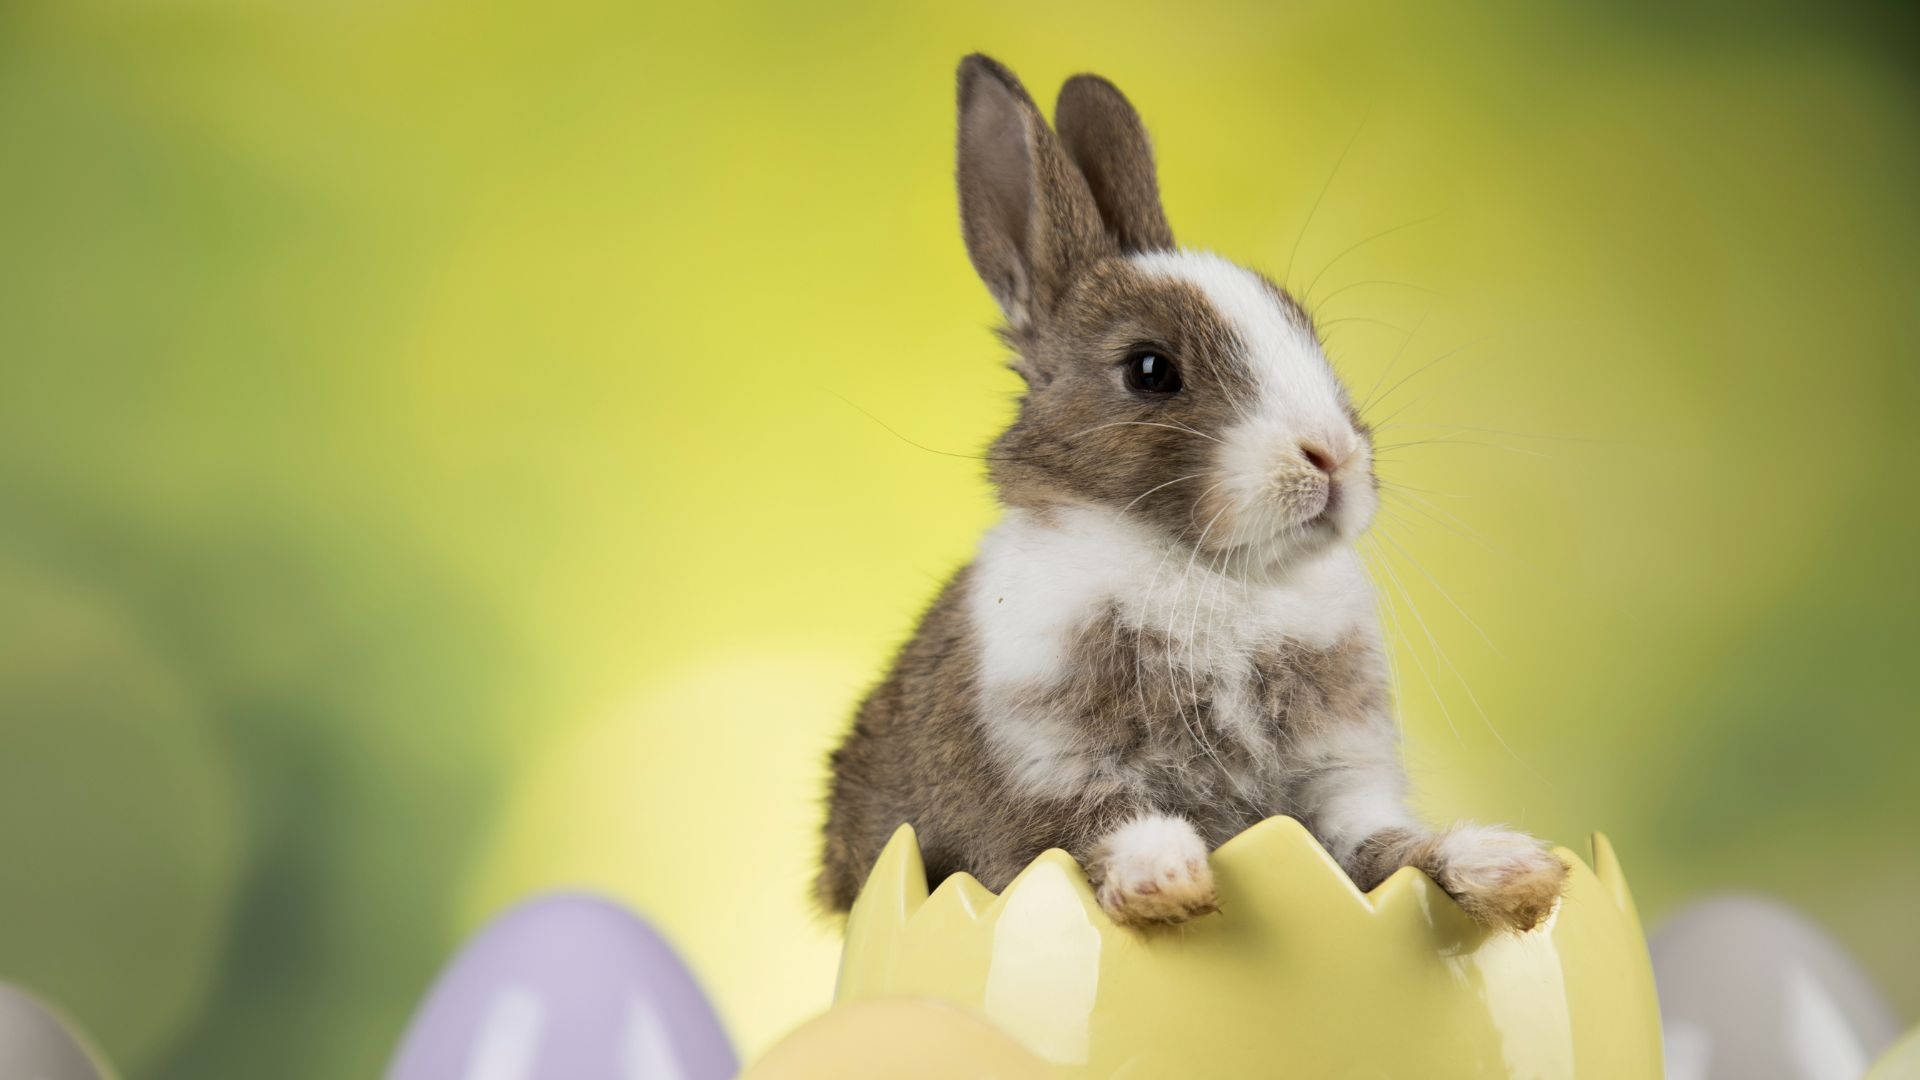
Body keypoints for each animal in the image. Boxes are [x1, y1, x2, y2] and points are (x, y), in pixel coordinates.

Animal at [816, 54, 1568, 931]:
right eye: (1150, 370)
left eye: (1308, 335)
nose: (1333, 456)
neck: (1219, 575)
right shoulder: (1034, 772)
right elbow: (1095, 828)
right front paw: (1170, 881)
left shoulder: (1341, 788)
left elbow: (1390, 847)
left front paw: (1513, 869)